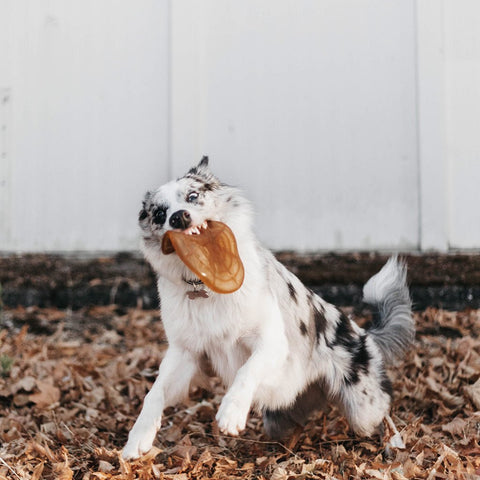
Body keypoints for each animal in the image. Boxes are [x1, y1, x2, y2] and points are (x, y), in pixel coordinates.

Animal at [121, 156, 412, 460]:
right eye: (159, 213)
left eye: (192, 196)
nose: (179, 217)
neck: (207, 284)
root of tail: (365, 334)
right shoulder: (185, 354)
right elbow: (154, 393)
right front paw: (138, 438)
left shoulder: (271, 342)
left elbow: (247, 370)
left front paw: (231, 412)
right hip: (278, 419)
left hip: (363, 409)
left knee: (383, 410)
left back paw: (394, 441)